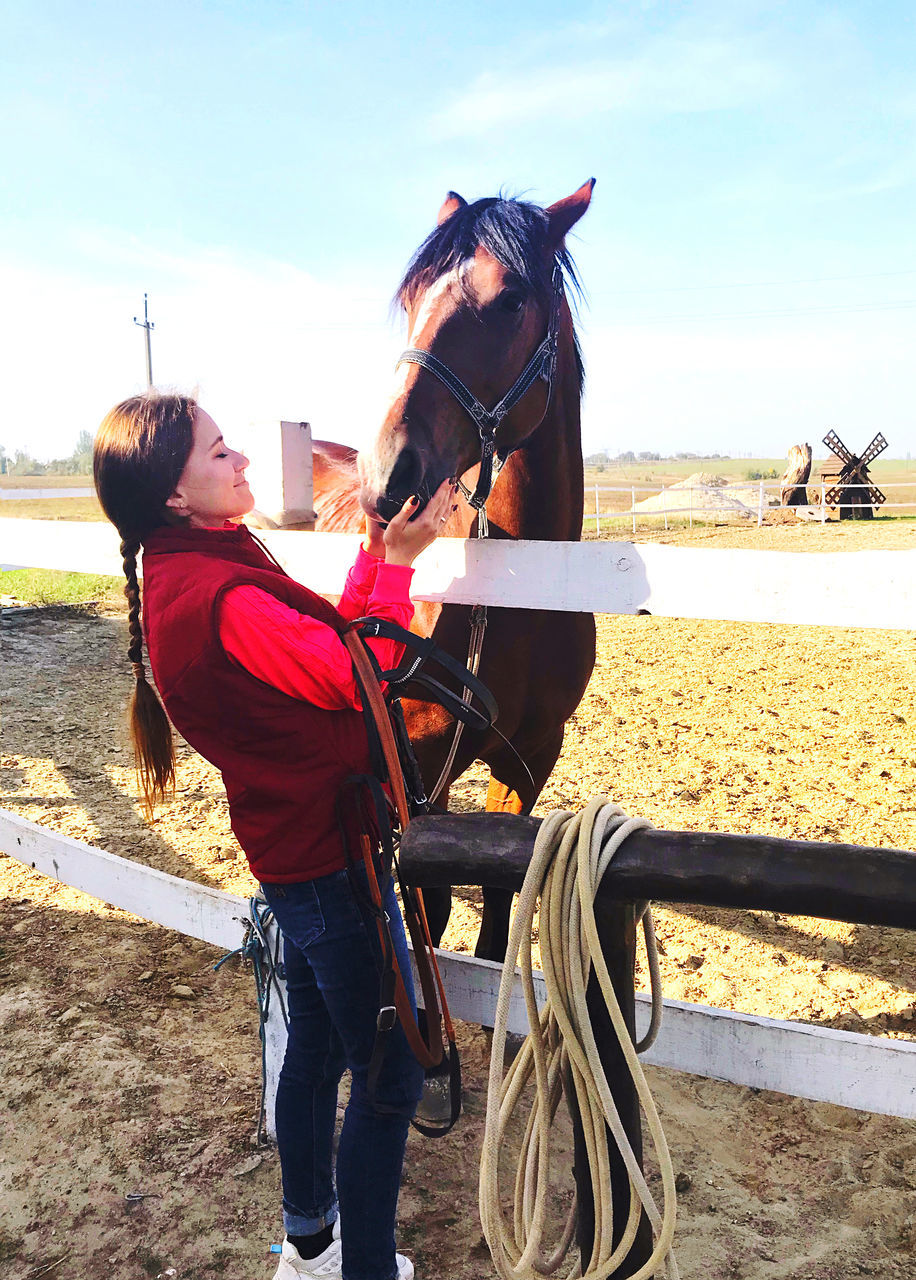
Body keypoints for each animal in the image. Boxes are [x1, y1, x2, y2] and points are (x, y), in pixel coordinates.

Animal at [313, 183, 593, 962]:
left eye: (510, 300)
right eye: (412, 299)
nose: (387, 477)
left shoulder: (530, 757)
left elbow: (500, 905)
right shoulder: (418, 764)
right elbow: (428, 911)